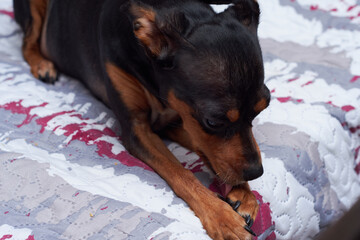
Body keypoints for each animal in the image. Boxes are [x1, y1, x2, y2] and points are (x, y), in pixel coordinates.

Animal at [14, 0, 270, 239]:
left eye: (263, 107)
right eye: (213, 122)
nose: (256, 172)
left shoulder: (178, 121)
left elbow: (217, 155)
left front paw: (244, 193)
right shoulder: (138, 129)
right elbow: (179, 171)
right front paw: (222, 217)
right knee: (27, 42)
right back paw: (42, 65)